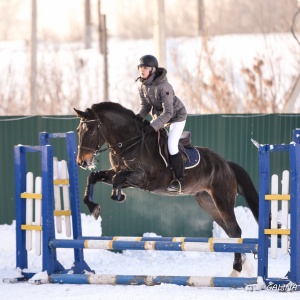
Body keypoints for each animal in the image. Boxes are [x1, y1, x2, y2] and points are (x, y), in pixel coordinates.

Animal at [74, 102, 258, 276]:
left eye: (91, 131)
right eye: (78, 131)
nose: (82, 162)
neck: (130, 143)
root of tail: (226, 163)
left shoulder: (142, 178)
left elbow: (116, 179)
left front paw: (117, 195)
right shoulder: (121, 173)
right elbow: (95, 177)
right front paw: (94, 207)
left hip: (222, 199)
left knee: (235, 229)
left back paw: (236, 270)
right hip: (208, 202)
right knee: (230, 232)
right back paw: (244, 265)